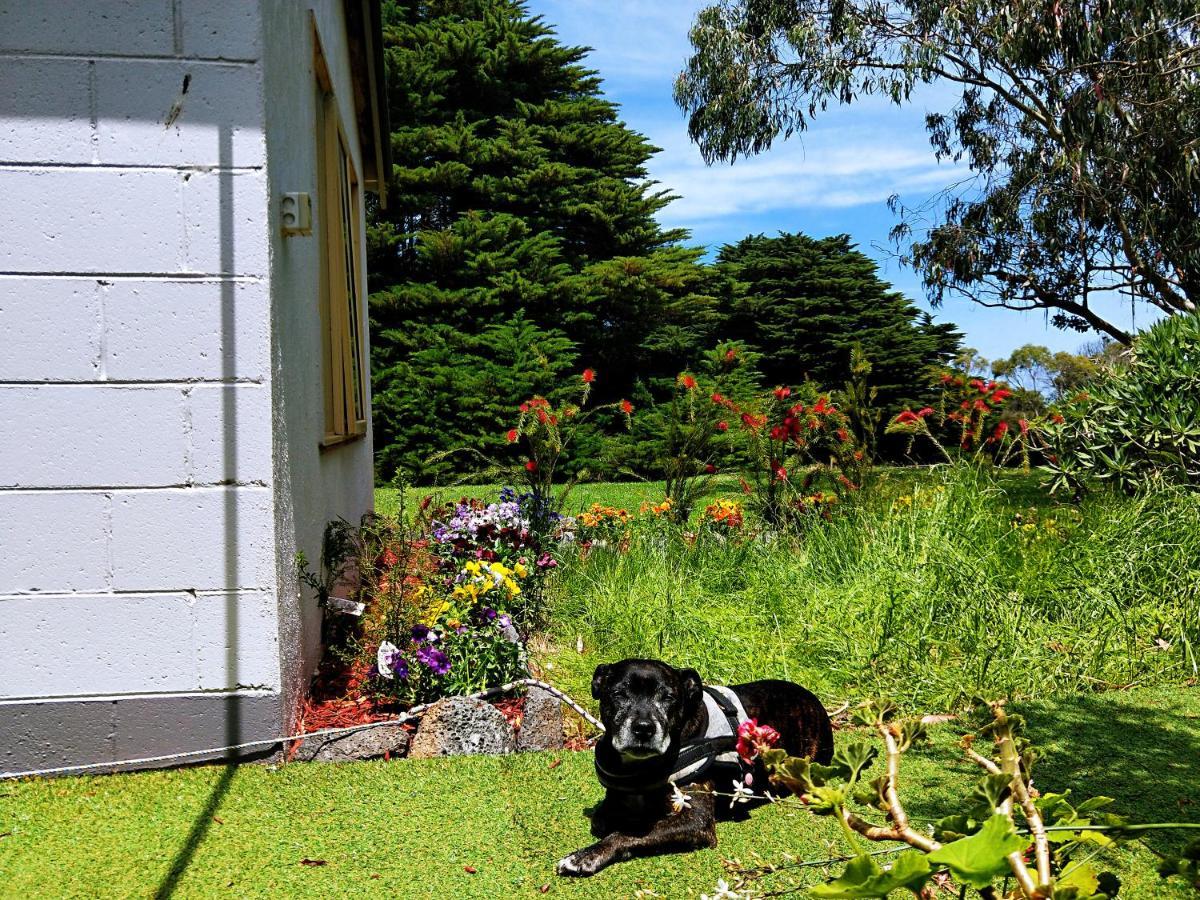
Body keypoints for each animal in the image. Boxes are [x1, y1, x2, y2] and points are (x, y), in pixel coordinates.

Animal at [556, 657, 830, 878]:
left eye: (668, 698)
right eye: (619, 694)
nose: (644, 728)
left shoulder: (696, 821)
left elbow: (629, 832)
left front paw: (585, 856)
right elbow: (603, 816)